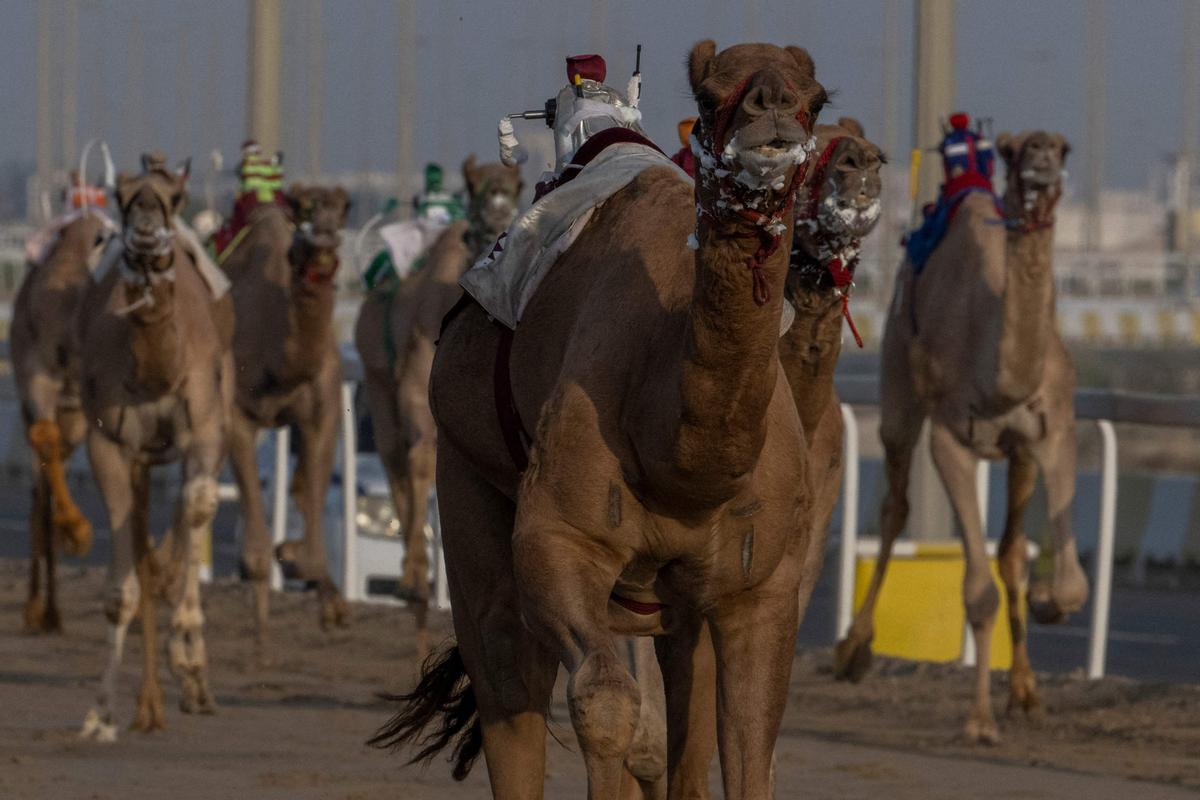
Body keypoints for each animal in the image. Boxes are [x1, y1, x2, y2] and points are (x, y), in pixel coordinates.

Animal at [76, 165, 234, 743]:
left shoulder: (207, 425)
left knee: (186, 512)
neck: (154, 373)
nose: (145, 225)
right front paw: (100, 712)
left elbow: (198, 504)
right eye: (120, 196)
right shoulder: (107, 443)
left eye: (174, 196)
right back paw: (149, 706)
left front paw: (188, 654)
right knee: (145, 541)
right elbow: (120, 589)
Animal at [220, 184, 350, 647]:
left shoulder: (323, 412)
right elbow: (257, 552)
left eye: (343, 209)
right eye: (305, 210)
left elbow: (309, 523)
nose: (324, 236)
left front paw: (294, 558)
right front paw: (261, 642)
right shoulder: (237, 415)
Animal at [355, 158, 525, 633]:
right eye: (476, 192)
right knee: (396, 460)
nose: (500, 221)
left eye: (518, 188)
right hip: (377, 381)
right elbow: (418, 463)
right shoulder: (415, 391)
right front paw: (415, 582)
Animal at [372, 40, 825, 796]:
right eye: (708, 96)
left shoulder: (760, 587)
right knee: (507, 673)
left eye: (816, 99)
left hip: (676, 603)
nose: (773, 112)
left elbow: (747, 750)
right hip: (463, 465)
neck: (676, 454)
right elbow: (605, 702)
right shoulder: (558, 541)